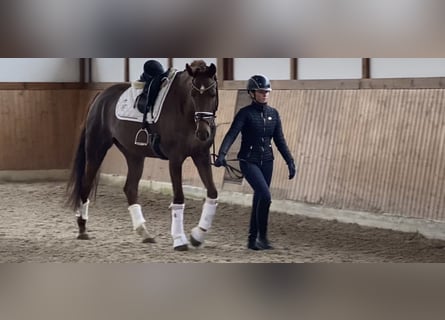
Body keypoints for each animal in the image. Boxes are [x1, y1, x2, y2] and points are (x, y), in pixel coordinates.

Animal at [67, 60, 218, 250]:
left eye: (212, 94)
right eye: (193, 94)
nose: (203, 133)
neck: (184, 111)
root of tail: (101, 95)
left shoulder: (201, 156)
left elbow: (212, 193)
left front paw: (198, 235)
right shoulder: (175, 159)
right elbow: (179, 198)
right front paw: (179, 239)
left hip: (134, 155)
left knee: (130, 188)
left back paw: (144, 232)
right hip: (96, 149)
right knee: (85, 185)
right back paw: (82, 228)